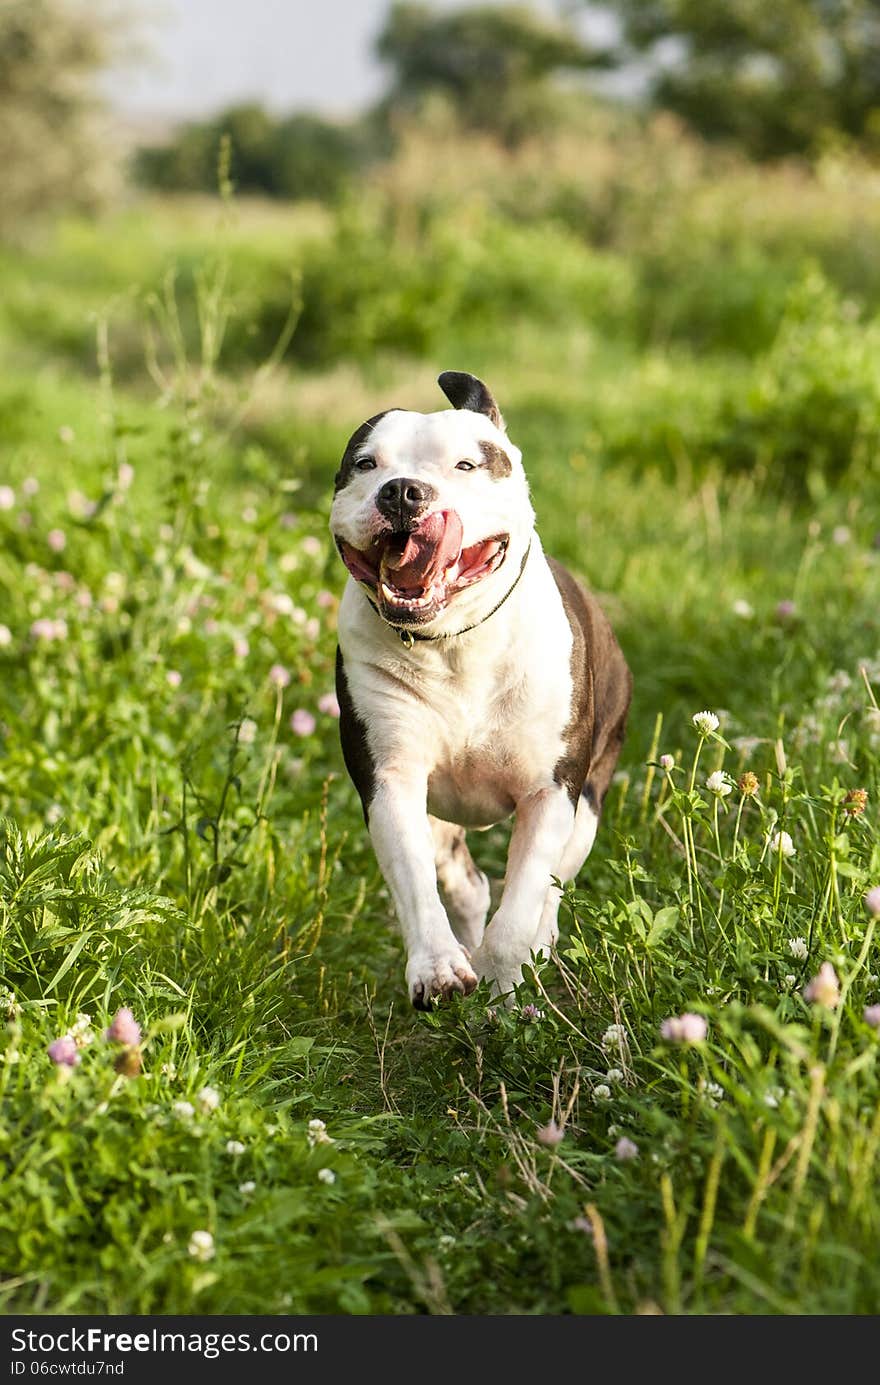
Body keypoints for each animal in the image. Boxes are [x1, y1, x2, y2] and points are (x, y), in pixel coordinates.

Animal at [332, 373, 634, 1013]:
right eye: (365, 464)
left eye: (466, 465)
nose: (402, 492)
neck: (455, 643)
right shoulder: (390, 778)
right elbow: (415, 882)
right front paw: (440, 970)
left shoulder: (550, 792)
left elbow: (521, 904)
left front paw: (505, 983)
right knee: (464, 884)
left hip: (590, 800)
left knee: (551, 889)